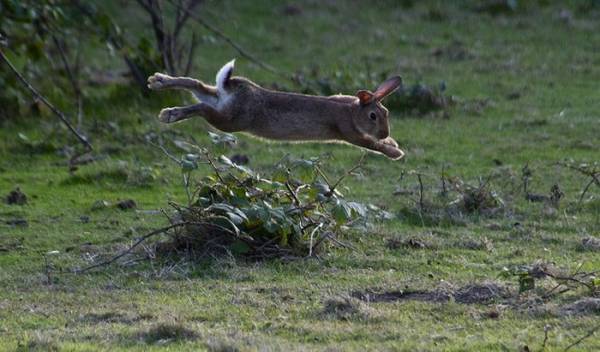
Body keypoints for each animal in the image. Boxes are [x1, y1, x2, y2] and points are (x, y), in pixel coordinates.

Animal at [148, 60, 406, 160]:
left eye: (386, 114)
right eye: (372, 116)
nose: (385, 132)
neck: (353, 110)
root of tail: (233, 88)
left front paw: (392, 143)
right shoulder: (349, 132)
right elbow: (371, 145)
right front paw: (395, 152)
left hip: (219, 101)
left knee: (198, 86)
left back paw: (158, 81)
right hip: (231, 121)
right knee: (203, 108)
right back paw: (169, 114)